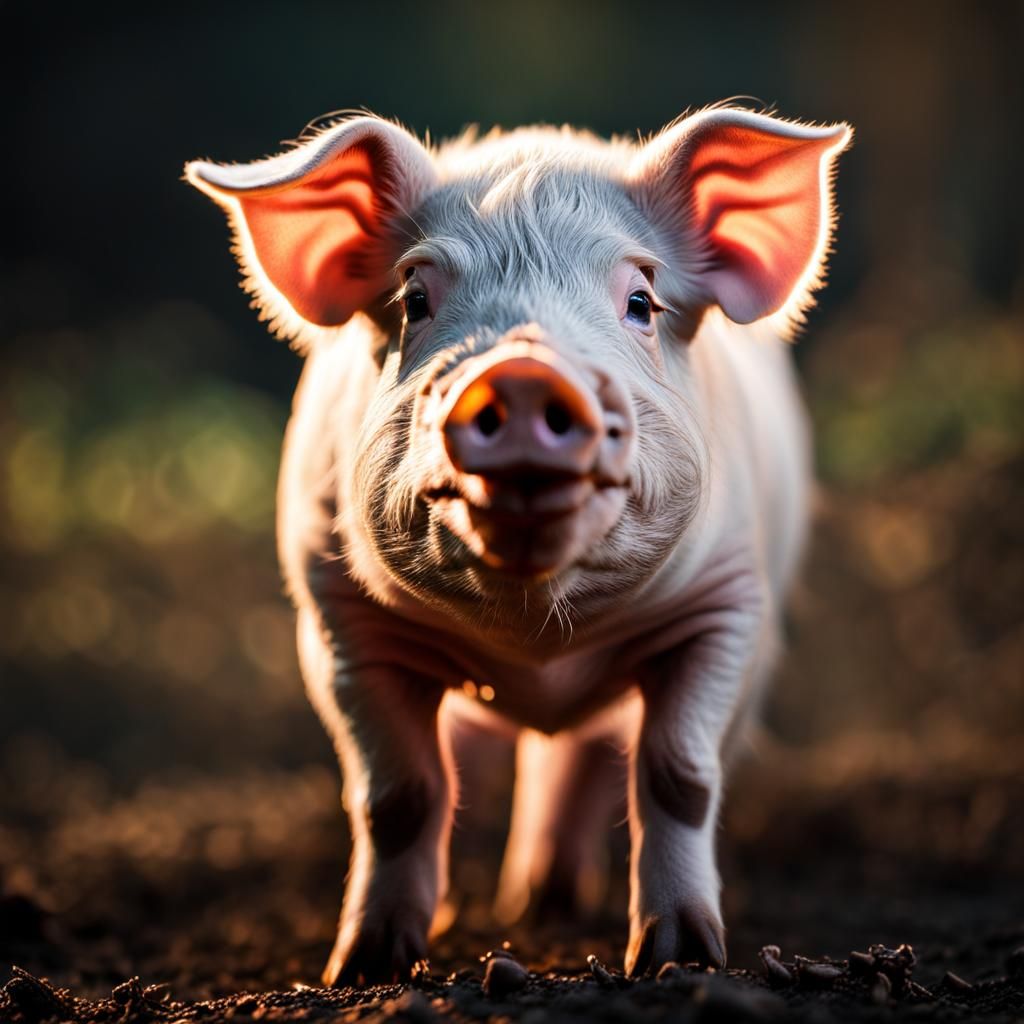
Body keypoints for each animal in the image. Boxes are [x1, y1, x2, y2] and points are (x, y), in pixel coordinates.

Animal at [185, 105, 851, 985]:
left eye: (642, 301)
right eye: (414, 297)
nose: (526, 372)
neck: (536, 638)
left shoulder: (729, 608)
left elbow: (677, 773)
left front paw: (679, 961)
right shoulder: (337, 619)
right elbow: (398, 796)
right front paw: (364, 968)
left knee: (591, 758)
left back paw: (551, 903)